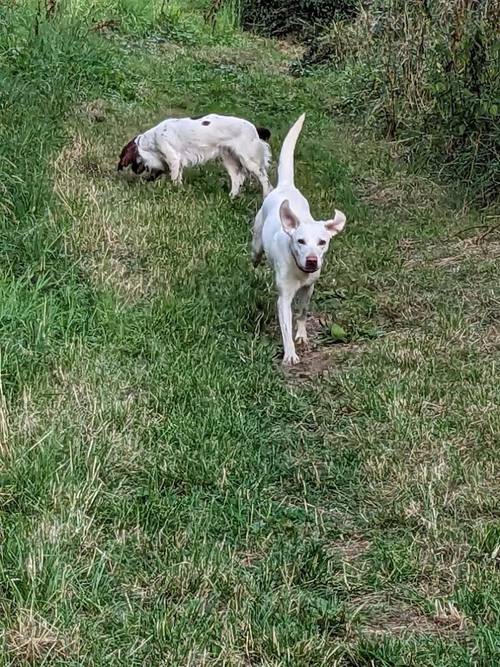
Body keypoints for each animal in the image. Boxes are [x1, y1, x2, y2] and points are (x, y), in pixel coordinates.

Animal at [117, 113, 272, 197]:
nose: (134, 171)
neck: (152, 138)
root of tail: (255, 128)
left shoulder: (173, 159)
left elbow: (174, 179)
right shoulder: (177, 162)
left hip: (249, 160)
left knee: (265, 180)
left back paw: (265, 196)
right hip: (229, 159)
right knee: (237, 179)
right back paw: (231, 197)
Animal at [252, 115, 346, 366]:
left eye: (322, 242)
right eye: (300, 241)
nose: (312, 261)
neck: (299, 270)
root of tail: (286, 186)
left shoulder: (309, 288)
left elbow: (302, 313)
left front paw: (302, 336)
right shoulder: (284, 298)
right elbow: (286, 325)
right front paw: (290, 354)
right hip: (256, 239)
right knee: (255, 253)